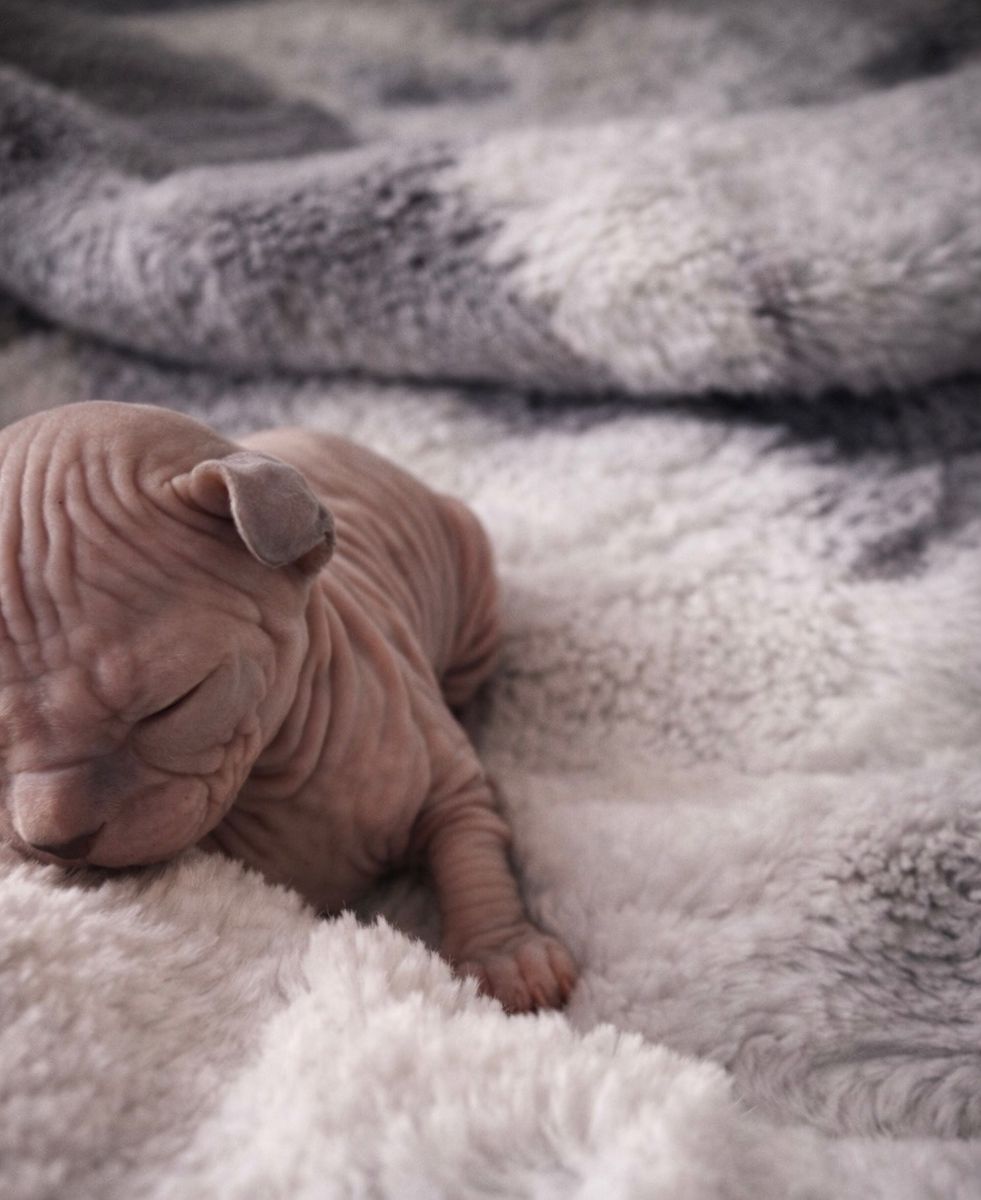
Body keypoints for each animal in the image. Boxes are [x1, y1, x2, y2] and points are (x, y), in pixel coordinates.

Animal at [0, 401, 576, 1013]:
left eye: (172, 705)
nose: (57, 842)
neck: (275, 773)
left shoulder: (452, 782)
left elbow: (471, 846)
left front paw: (506, 957)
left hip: (472, 592)